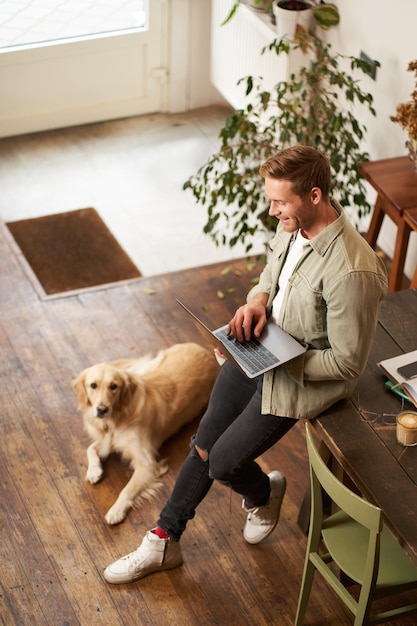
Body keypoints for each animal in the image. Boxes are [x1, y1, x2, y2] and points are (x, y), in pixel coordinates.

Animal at [72, 342, 216, 520]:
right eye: (93, 385)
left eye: (113, 386)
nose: (102, 409)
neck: (118, 418)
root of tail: (206, 351)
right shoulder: (109, 440)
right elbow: (90, 448)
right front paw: (94, 471)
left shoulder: (146, 464)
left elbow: (127, 489)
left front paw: (116, 511)